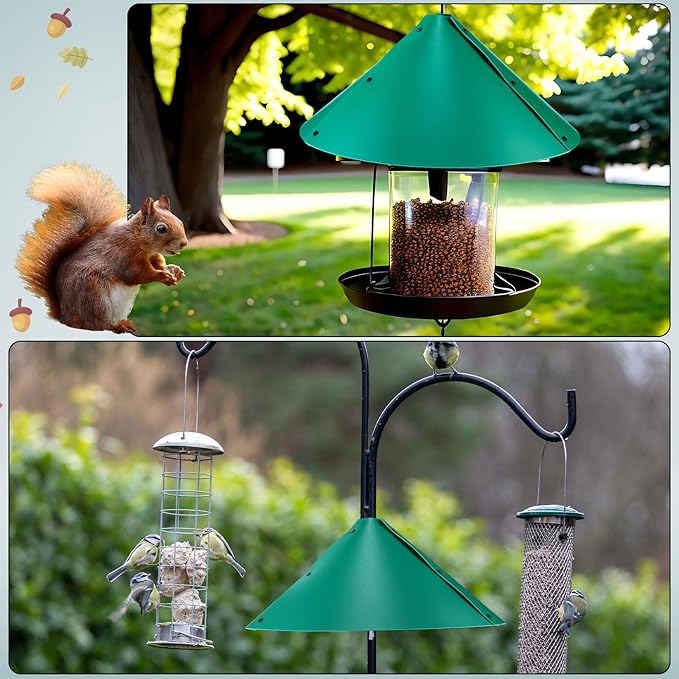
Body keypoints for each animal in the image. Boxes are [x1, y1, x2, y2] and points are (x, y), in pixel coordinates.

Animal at [16, 162, 188, 334]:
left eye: (179, 221)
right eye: (161, 229)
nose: (184, 243)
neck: (141, 242)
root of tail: (64, 318)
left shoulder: (152, 256)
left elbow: (159, 263)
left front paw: (174, 270)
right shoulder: (124, 254)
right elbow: (138, 274)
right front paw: (162, 276)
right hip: (93, 296)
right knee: (97, 325)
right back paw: (118, 326)